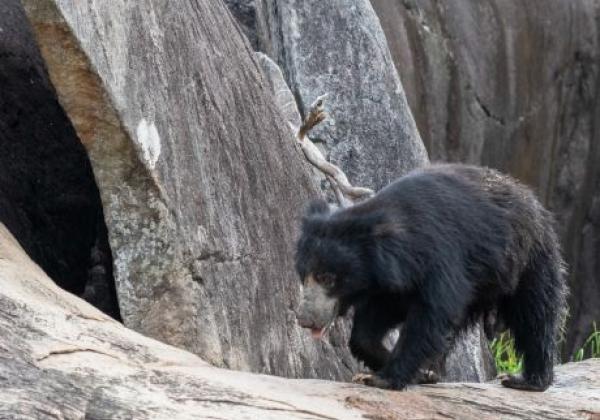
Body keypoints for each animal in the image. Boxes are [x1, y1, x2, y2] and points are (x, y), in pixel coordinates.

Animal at [296, 163, 568, 390]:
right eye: (303, 276)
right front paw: (416, 372)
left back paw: (527, 380)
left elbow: (431, 316)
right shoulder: (389, 285)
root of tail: (529, 196)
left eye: (327, 278)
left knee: (535, 313)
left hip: (528, 258)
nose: (304, 319)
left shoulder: (441, 259)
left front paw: (384, 378)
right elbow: (370, 327)